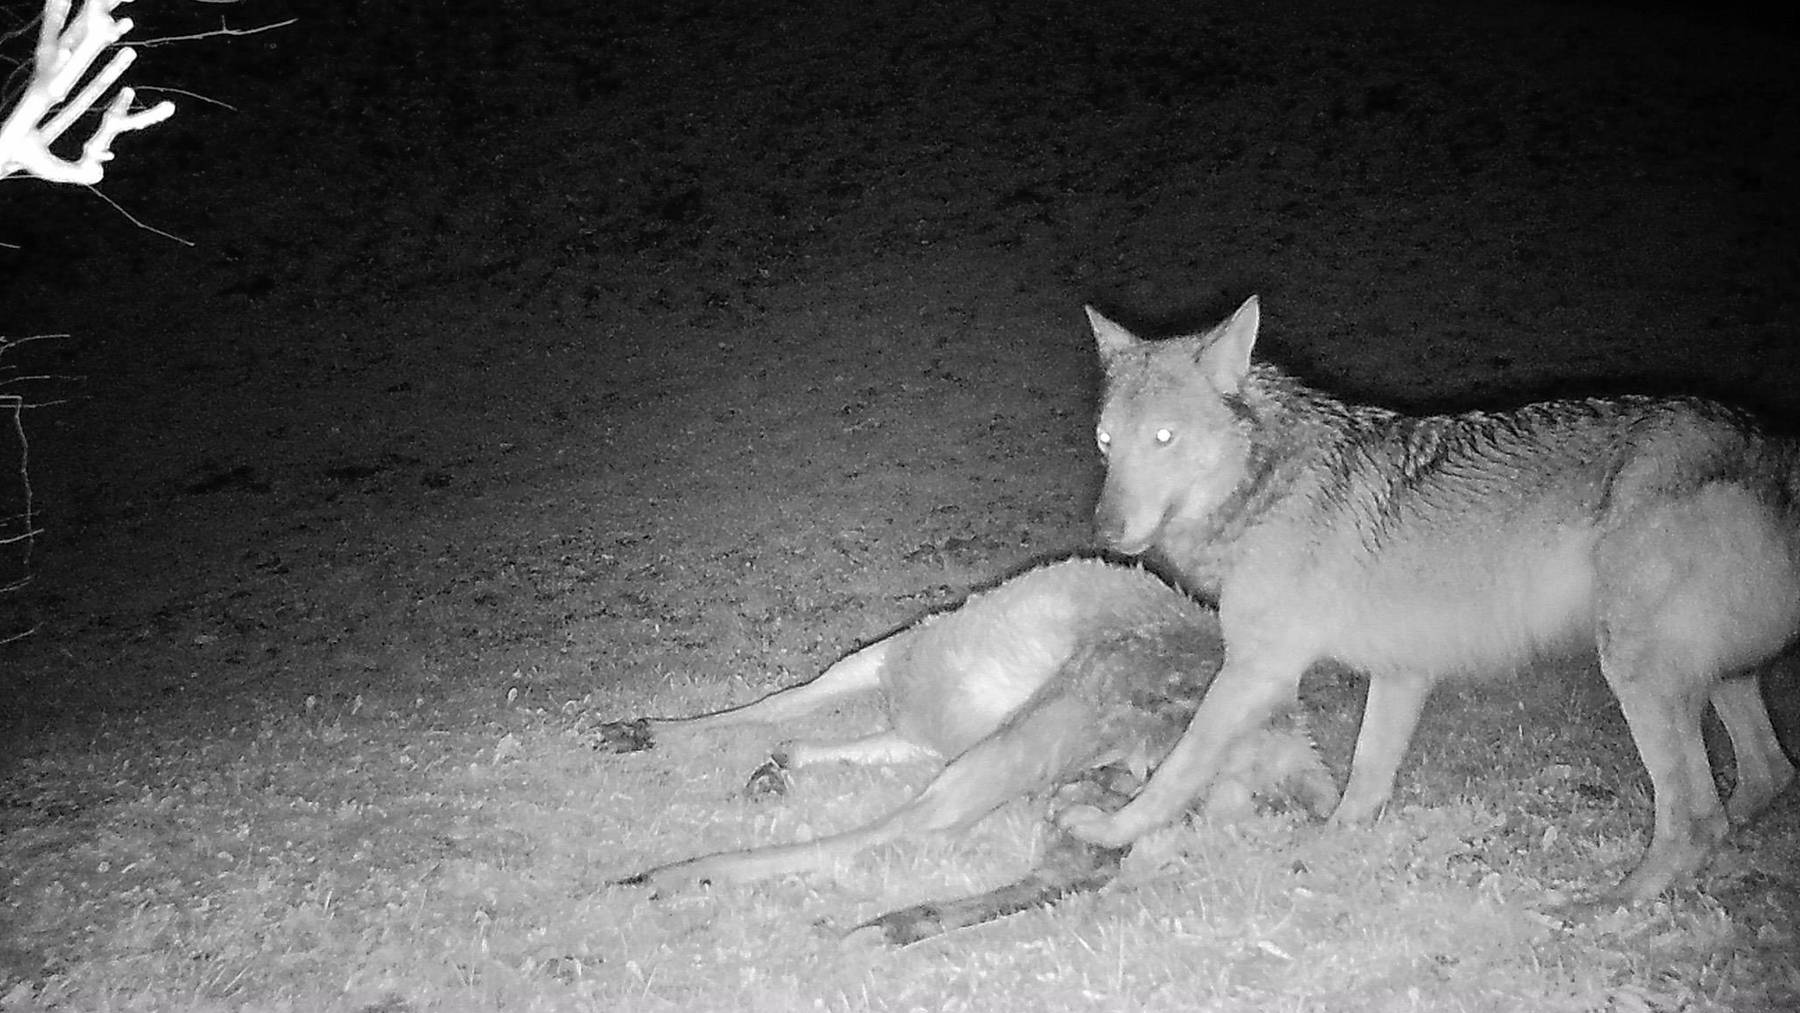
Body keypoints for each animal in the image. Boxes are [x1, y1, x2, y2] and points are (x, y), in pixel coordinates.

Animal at [597, 557, 1332, 942]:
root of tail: (1284, 764)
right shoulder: (916, 722)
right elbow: (804, 729)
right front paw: (762, 764)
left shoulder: (893, 656)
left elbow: (790, 697)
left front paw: (649, 732)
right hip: (1103, 785)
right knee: (1069, 869)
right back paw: (898, 922)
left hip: (1067, 709)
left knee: (917, 822)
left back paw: (672, 873)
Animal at [1058, 295, 1792, 903]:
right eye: (1106, 443)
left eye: (1165, 438)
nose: (1103, 531)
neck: (1267, 484)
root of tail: (1773, 450)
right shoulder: (1402, 672)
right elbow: (1364, 780)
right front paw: (1330, 846)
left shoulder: (1256, 672)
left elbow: (1179, 767)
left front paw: (1110, 829)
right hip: (1715, 674)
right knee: (1765, 776)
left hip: (1639, 674)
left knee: (1698, 817)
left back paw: (1608, 906)